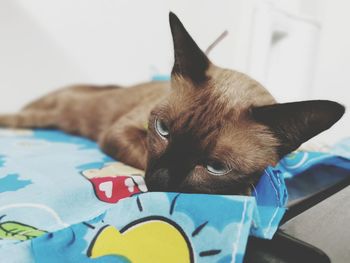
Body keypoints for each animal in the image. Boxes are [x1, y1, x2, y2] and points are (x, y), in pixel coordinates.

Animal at [0, 12, 344, 196]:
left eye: (216, 167)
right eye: (163, 129)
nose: (158, 182)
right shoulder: (121, 133)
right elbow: (141, 153)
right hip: (50, 111)